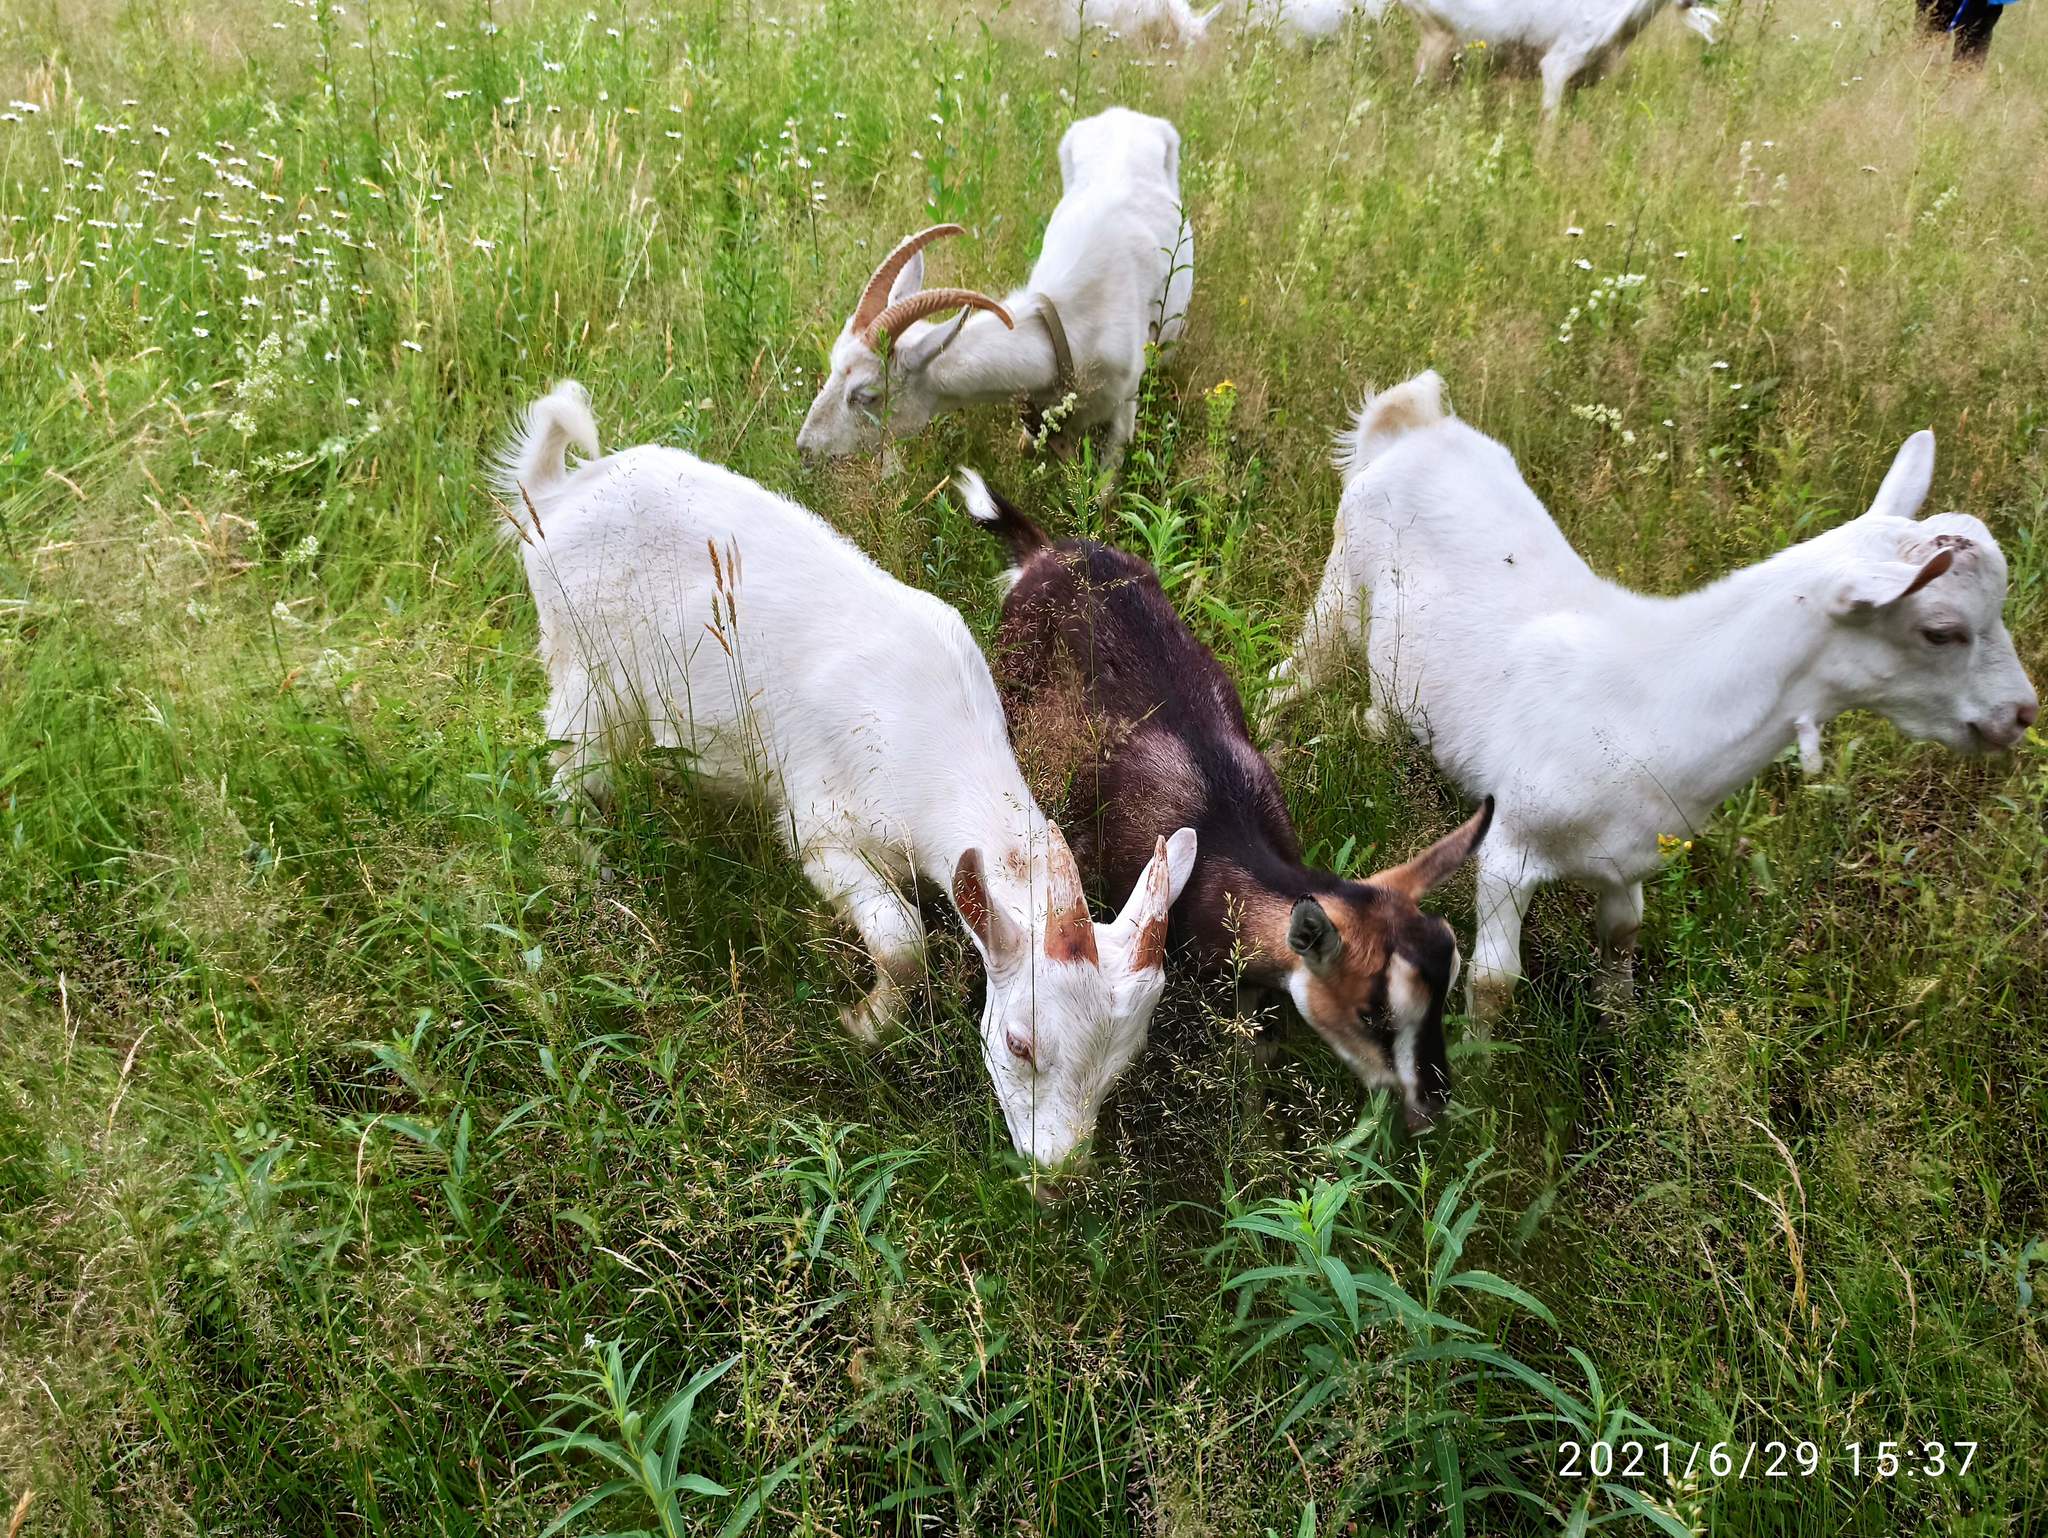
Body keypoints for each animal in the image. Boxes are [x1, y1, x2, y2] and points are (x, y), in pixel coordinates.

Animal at [499, 378, 1196, 1171]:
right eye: (1020, 1044)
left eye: (1120, 1066)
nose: (1057, 1172)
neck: (933, 751)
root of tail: (555, 495)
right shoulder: (821, 826)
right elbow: (900, 939)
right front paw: (863, 1024)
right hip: (582, 662)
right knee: (570, 772)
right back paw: (598, 878)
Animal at [1269, 370, 2039, 1023]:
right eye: (1941, 631)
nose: (2021, 714)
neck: (1649, 702)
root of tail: (1417, 422)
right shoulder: (1511, 846)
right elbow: (1493, 981)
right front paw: (1480, 1079)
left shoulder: (1630, 859)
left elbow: (1622, 935)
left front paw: (1622, 1020)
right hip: (1343, 576)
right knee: (1295, 672)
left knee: (1377, 711)